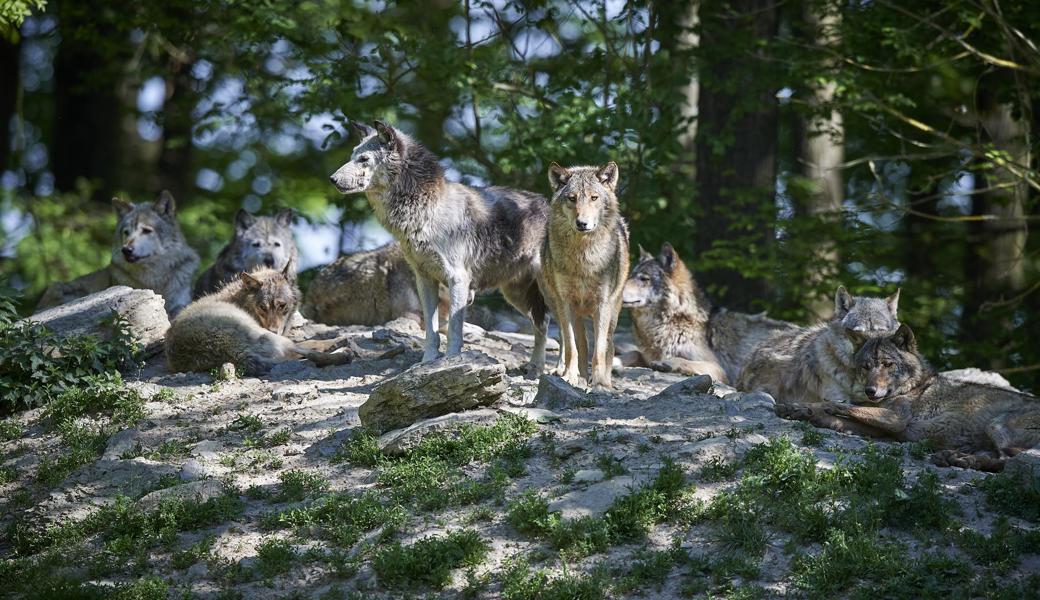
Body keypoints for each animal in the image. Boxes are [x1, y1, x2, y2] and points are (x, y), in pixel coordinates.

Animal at [166, 266, 352, 375]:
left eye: (282, 306)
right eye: (263, 307)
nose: (272, 329)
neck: (240, 300)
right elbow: (311, 342)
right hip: (269, 338)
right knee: (307, 351)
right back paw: (343, 351)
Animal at [329, 121, 549, 373]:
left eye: (363, 159)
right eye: (352, 156)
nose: (332, 179)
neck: (427, 210)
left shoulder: (458, 279)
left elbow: (453, 329)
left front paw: (451, 361)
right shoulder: (424, 280)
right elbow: (431, 332)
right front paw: (427, 362)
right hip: (516, 295)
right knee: (543, 326)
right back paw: (537, 367)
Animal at [539, 162, 629, 390]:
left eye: (594, 198)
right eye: (572, 198)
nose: (582, 223)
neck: (583, 259)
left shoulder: (603, 304)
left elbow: (600, 350)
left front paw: (600, 383)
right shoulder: (565, 303)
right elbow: (573, 347)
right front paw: (570, 377)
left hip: (613, 311)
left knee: (608, 346)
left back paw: (603, 379)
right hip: (559, 307)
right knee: (577, 343)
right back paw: (574, 376)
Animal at [782, 324, 1040, 471]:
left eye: (887, 364)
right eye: (866, 367)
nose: (870, 391)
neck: (911, 387)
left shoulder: (896, 420)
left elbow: (839, 405)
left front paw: (806, 408)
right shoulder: (881, 427)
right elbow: (837, 414)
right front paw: (801, 411)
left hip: (997, 425)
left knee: (1008, 461)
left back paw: (961, 460)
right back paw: (956, 458)